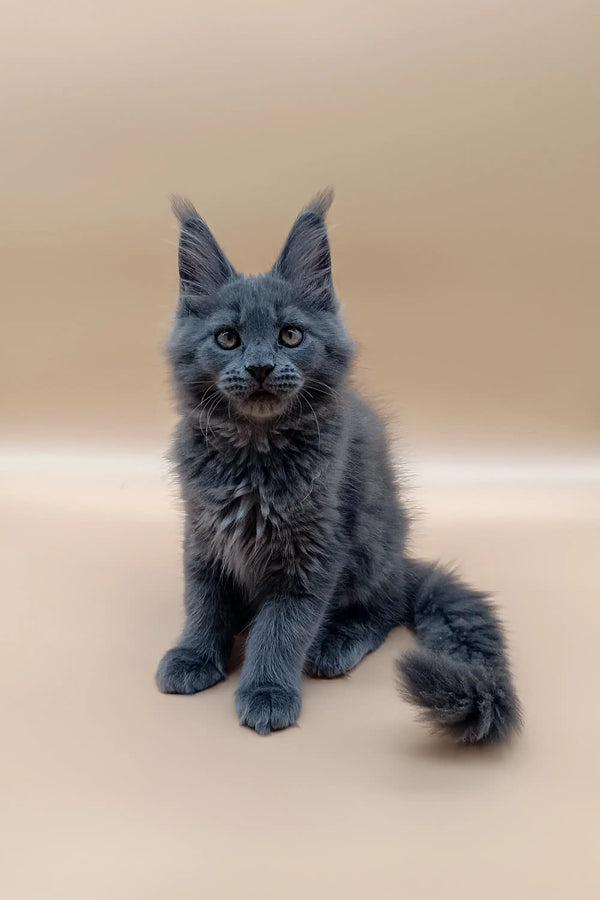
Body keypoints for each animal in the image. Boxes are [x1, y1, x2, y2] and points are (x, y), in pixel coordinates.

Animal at [155, 186, 520, 740]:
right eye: (227, 339)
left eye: (289, 335)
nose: (259, 367)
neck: (253, 456)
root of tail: (404, 562)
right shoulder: (203, 532)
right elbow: (203, 601)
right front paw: (194, 655)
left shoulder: (314, 550)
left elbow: (282, 628)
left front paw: (267, 691)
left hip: (371, 545)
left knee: (385, 608)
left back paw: (335, 643)